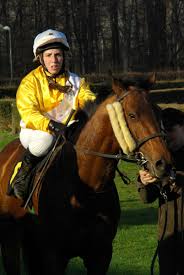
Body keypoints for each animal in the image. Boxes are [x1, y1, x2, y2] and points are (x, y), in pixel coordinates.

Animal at [0, 74, 174, 275]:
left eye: (158, 113)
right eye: (132, 115)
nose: (163, 163)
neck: (86, 186)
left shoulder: (101, 254)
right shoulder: (54, 255)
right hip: (10, 238)